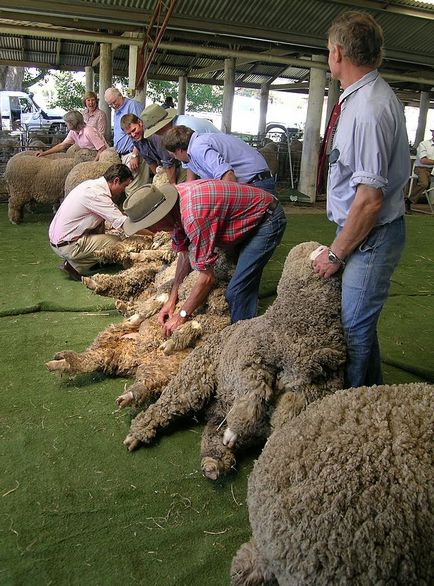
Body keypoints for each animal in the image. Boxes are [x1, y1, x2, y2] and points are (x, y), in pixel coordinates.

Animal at [123, 240, 346, 482]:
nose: (332, 255)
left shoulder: (312, 384)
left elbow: (282, 410)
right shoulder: (259, 360)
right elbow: (258, 395)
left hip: (215, 397)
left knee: (212, 428)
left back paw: (215, 459)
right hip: (201, 381)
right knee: (173, 404)